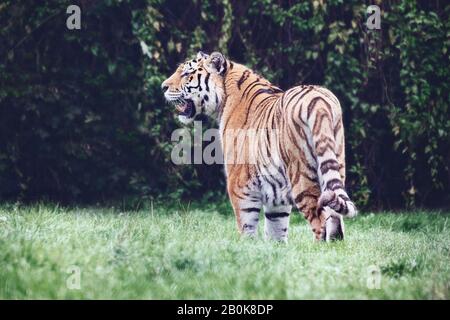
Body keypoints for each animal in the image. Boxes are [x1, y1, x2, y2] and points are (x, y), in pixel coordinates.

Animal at [163, 50, 358, 241]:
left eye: (186, 74)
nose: (163, 87)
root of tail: (318, 98)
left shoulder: (239, 184)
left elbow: (246, 225)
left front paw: (246, 246)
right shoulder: (276, 196)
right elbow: (275, 229)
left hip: (301, 176)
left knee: (320, 220)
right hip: (335, 162)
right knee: (335, 220)